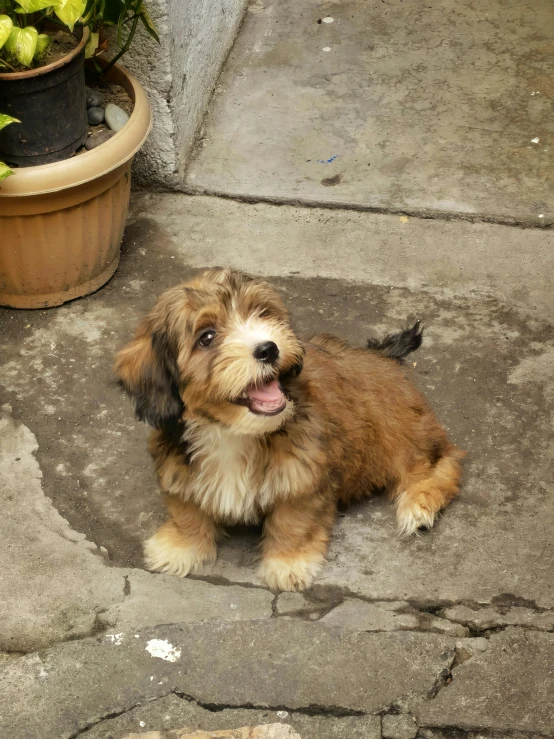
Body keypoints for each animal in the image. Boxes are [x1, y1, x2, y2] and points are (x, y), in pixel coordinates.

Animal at [116, 268, 462, 592]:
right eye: (207, 337)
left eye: (262, 313)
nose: (268, 349)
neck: (232, 432)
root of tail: (382, 356)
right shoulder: (176, 466)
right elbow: (186, 509)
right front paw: (181, 546)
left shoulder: (305, 475)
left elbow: (294, 521)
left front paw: (288, 563)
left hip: (400, 431)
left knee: (441, 462)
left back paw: (420, 503)